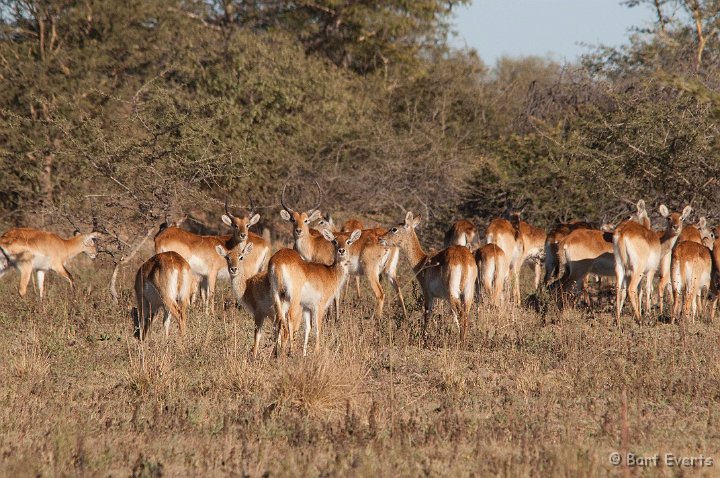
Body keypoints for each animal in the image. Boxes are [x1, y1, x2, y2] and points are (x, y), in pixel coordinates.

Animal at [380, 213, 476, 344]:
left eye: (394, 229)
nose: (380, 238)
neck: (423, 260)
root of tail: (464, 260)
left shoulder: (428, 294)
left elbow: (427, 314)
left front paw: (424, 338)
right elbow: (452, 316)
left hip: (453, 293)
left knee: (461, 314)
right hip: (467, 294)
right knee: (465, 314)